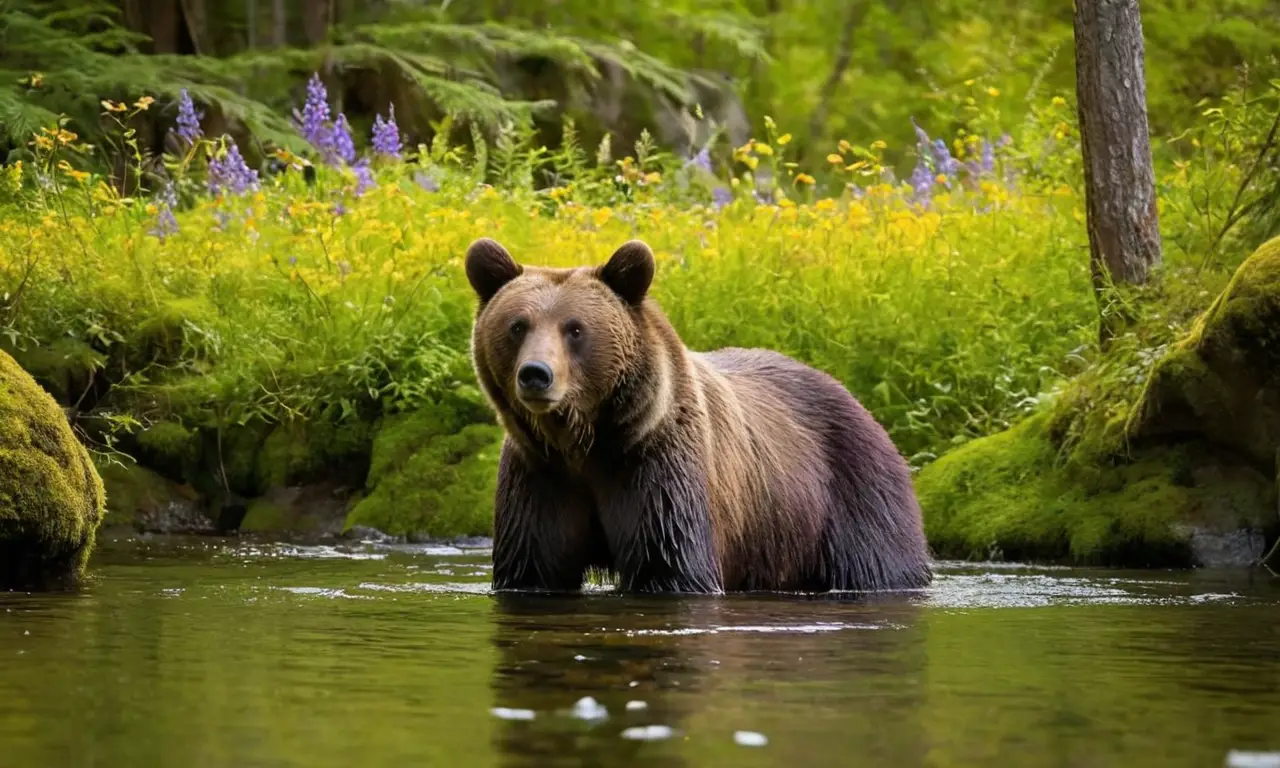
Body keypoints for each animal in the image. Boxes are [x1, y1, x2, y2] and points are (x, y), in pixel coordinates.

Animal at [464, 237, 933, 595]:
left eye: (575, 328)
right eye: (517, 325)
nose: (535, 374)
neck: (587, 442)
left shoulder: (657, 466)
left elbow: (671, 567)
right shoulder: (540, 477)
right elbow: (533, 567)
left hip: (851, 494)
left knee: (880, 561)